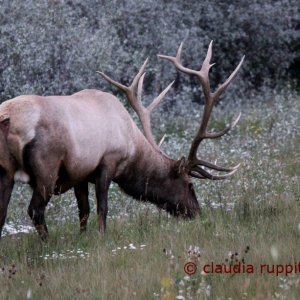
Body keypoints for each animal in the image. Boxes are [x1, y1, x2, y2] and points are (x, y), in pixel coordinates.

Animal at [0, 41, 244, 240]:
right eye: (189, 184)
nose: (196, 212)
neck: (132, 146)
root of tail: (10, 119)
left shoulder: (80, 172)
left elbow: (84, 210)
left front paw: (83, 238)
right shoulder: (108, 162)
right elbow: (102, 207)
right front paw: (101, 238)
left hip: (5, 171)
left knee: (3, 213)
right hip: (46, 168)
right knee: (35, 210)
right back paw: (47, 243)